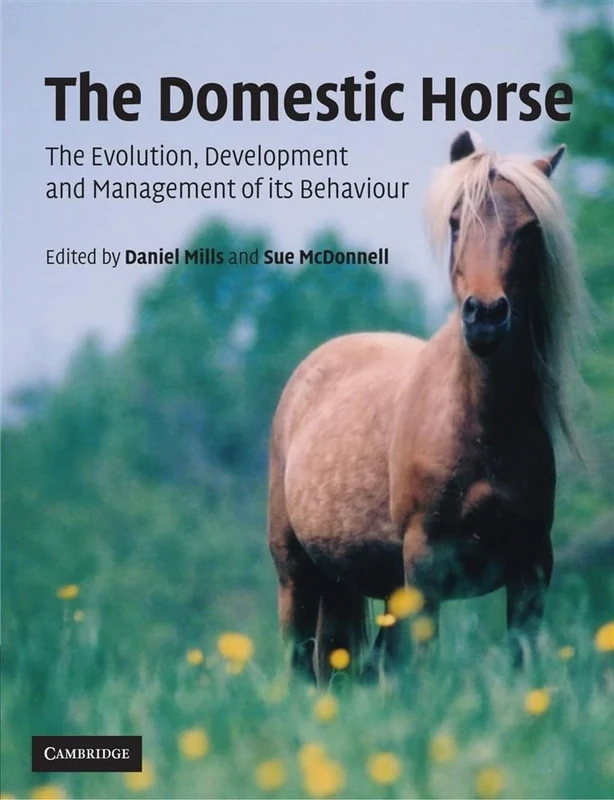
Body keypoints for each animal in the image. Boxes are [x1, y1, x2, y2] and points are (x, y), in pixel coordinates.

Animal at [268, 130, 587, 683]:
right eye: (457, 222)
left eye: (529, 229)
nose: (485, 315)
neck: (481, 427)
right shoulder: (425, 566)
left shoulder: (531, 568)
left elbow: (522, 661)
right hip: (296, 575)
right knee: (302, 661)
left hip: (349, 583)